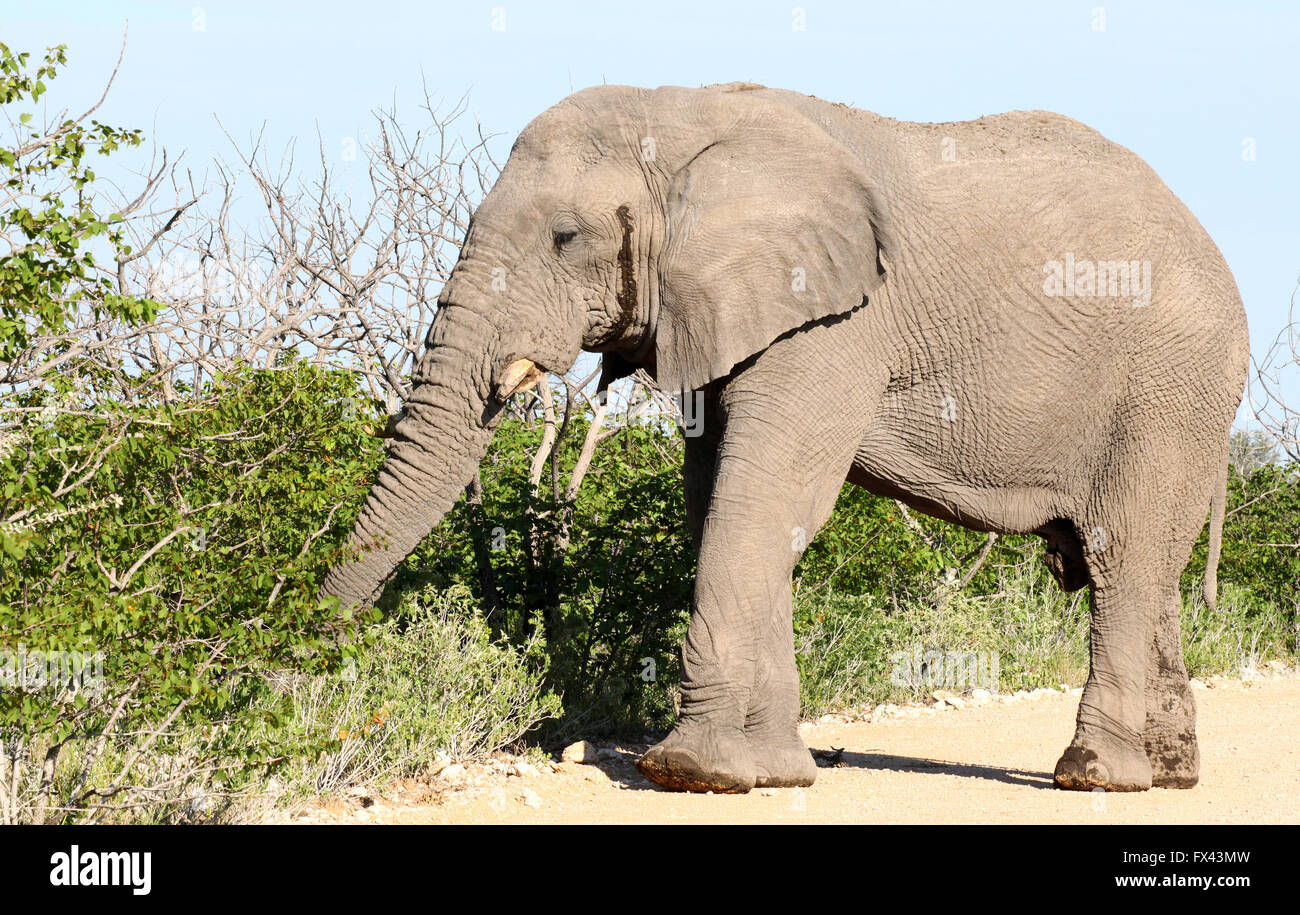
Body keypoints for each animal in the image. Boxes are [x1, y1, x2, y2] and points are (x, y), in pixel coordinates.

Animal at [322, 83, 1248, 795]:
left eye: (564, 238)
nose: (315, 653)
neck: (681, 116)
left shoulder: (835, 322)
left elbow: (765, 498)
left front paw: (693, 772)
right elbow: (717, 497)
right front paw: (773, 769)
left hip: (1168, 390)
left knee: (1121, 554)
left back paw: (1094, 777)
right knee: (1149, 569)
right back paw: (1169, 775)